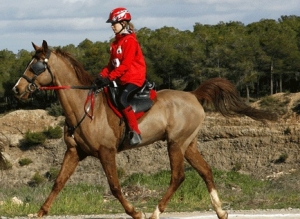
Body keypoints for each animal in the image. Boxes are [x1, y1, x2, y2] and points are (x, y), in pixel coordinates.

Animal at [12, 40, 278, 219]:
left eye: (36, 66)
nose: (17, 89)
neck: (83, 107)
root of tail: (193, 95)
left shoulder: (106, 152)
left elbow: (115, 186)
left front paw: (135, 212)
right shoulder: (75, 152)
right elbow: (58, 183)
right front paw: (40, 212)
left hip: (175, 144)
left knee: (178, 176)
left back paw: (155, 212)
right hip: (188, 144)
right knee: (206, 171)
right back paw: (220, 211)